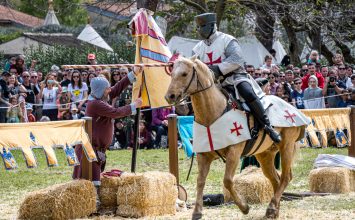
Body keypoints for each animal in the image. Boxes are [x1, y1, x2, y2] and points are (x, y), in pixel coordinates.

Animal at [165, 55, 308, 219]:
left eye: (184, 74)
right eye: (172, 73)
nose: (170, 96)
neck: (212, 115)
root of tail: (291, 107)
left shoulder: (234, 152)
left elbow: (227, 181)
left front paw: (244, 207)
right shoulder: (204, 155)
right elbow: (200, 181)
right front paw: (197, 212)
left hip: (286, 145)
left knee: (285, 177)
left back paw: (271, 208)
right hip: (265, 154)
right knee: (275, 180)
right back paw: (274, 211)